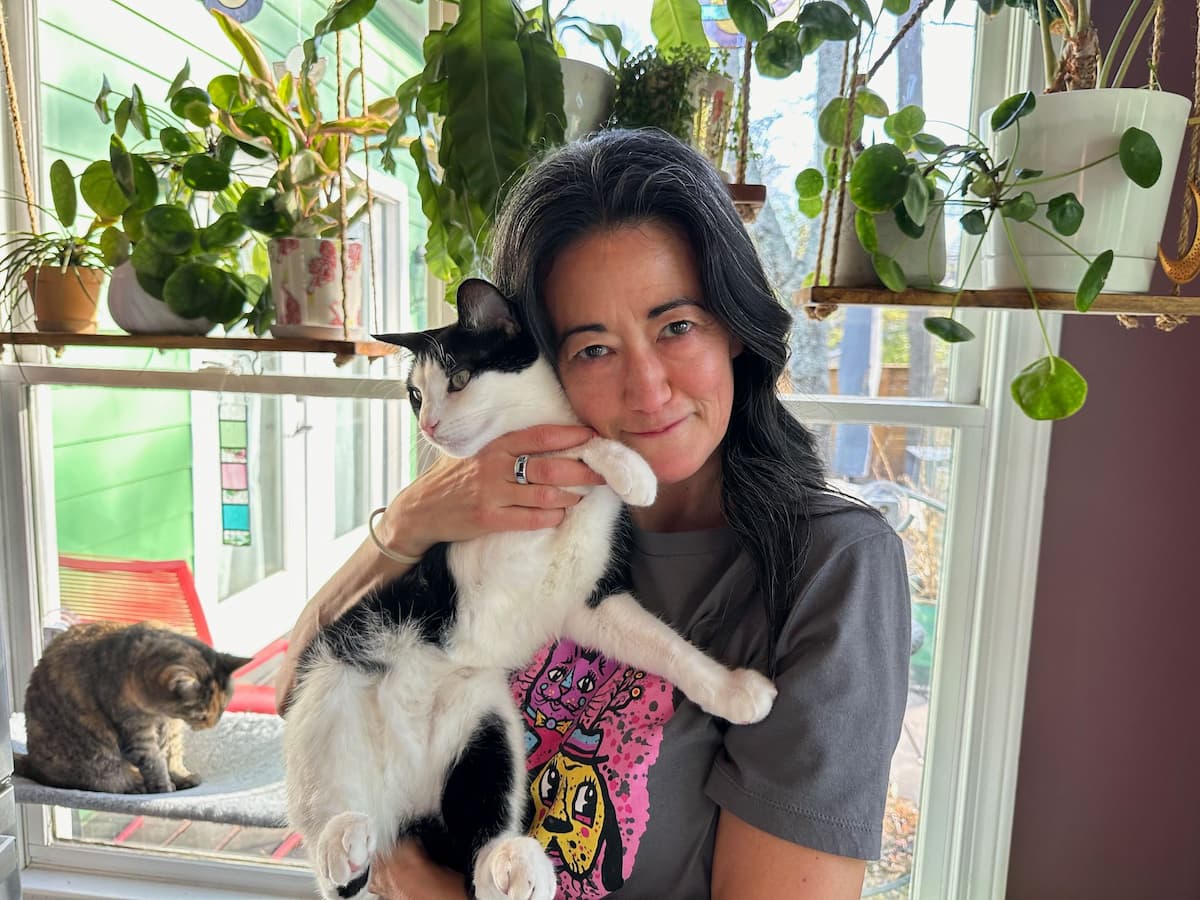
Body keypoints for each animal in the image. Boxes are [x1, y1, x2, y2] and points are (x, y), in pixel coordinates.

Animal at [16, 619, 250, 796]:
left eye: (223, 708)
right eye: (201, 716)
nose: (212, 725)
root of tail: (31, 760)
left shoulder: (168, 728)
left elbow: (170, 755)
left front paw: (181, 776)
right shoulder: (137, 733)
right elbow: (154, 762)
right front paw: (164, 787)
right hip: (98, 759)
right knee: (110, 782)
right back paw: (137, 784)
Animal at [288, 278, 777, 897]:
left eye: (458, 379)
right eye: (416, 396)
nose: (428, 426)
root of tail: (402, 797)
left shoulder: (585, 600)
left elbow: (666, 647)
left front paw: (732, 691)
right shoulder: (466, 543)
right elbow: (562, 444)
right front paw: (630, 468)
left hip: (487, 725)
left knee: (482, 832)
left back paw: (513, 865)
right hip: (328, 688)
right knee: (326, 825)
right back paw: (341, 844)